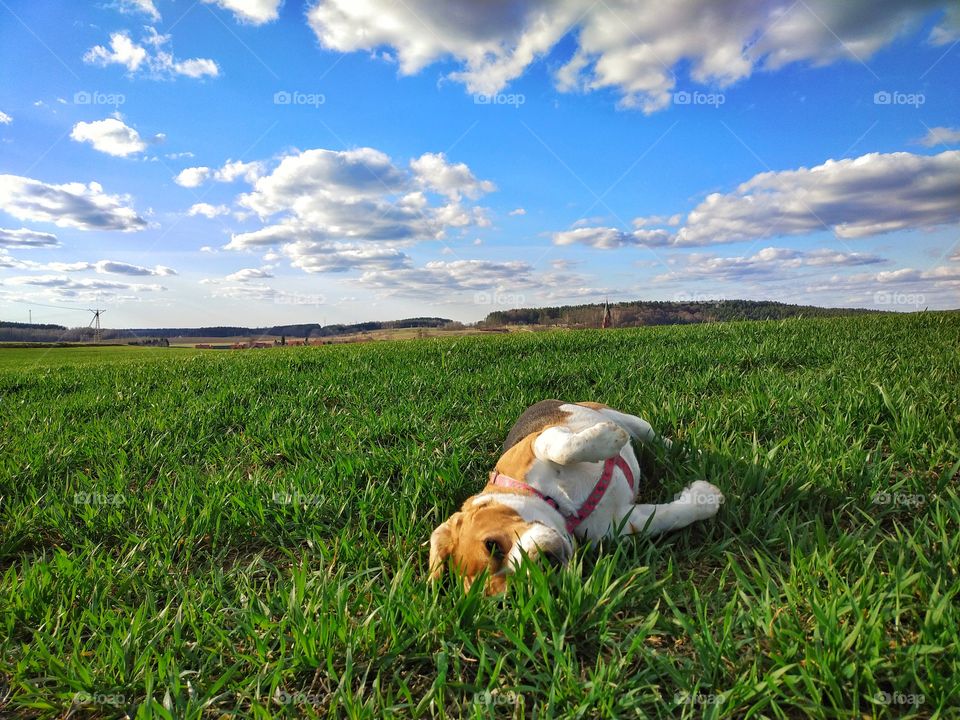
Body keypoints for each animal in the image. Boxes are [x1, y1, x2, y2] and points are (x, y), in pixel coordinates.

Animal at [428, 400, 720, 592]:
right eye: (516, 590)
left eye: (492, 545)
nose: (546, 565)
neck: (561, 507)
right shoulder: (619, 524)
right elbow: (668, 517)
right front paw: (705, 499)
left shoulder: (534, 445)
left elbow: (560, 448)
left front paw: (607, 439)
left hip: (622, 417)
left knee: (655, 438)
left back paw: (688, 453)